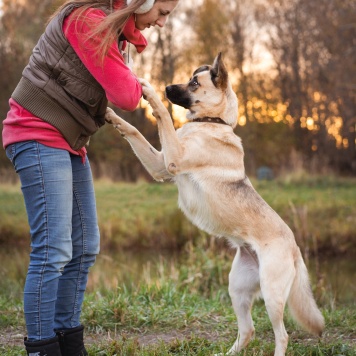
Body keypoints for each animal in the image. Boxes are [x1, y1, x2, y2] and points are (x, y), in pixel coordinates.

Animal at [104, 52, 324, 356]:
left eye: (194, 83)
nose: (167, 87)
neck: (212, 121)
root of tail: (295, 248)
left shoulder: (173, 159)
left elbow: (163, 115)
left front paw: (149, 92)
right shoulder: (160, 166)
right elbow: (135, 132)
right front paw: (111, 115)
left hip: (272, 293)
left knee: (282, 335)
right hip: (237, 289)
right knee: (248, 330)